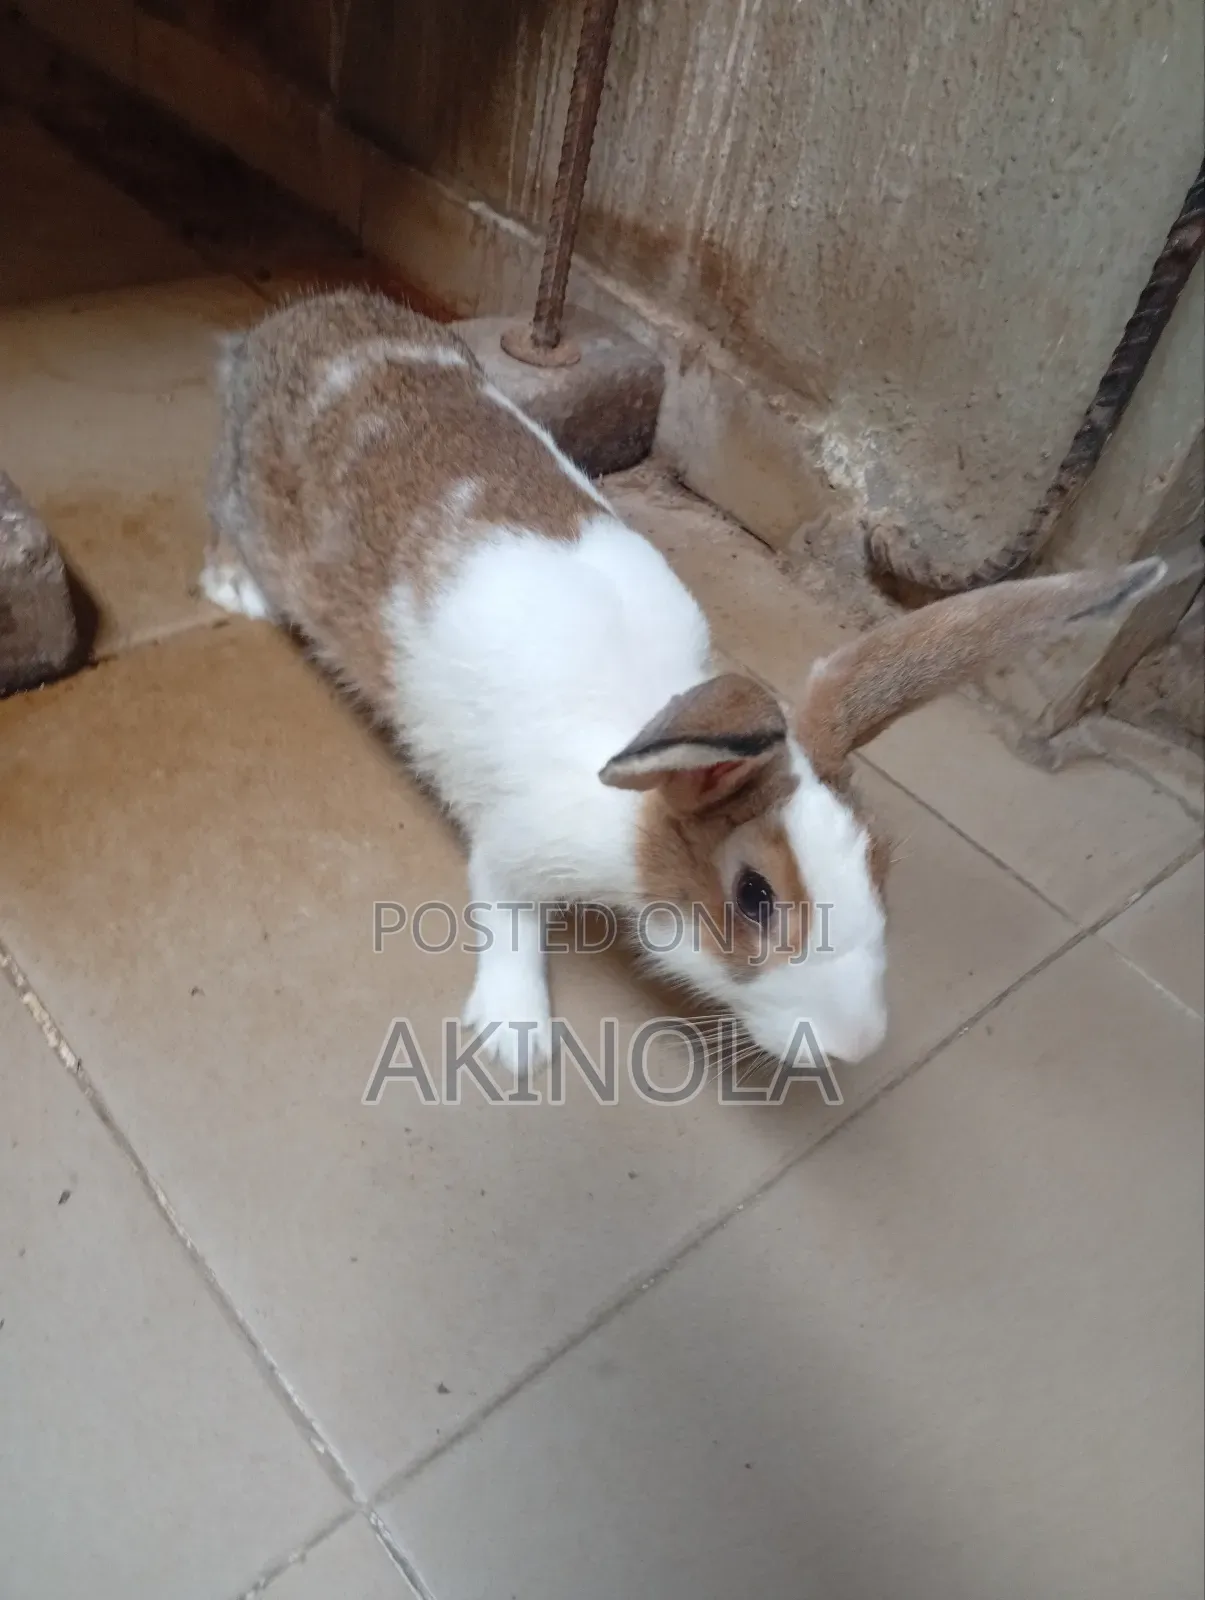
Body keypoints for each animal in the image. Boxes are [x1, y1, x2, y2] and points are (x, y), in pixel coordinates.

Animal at [200, 288, 1165, 1078]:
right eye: (753, 897)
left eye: (877, 860)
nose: (854, 1046)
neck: (641, 799)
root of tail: (288, 325)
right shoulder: (516, 845)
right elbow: (507, 916)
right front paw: (515, 1041)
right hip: (251, 493)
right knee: (225, 514)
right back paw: (235, 590)